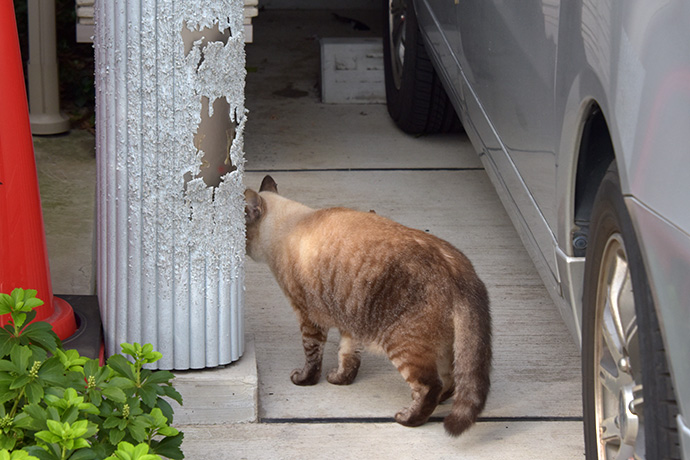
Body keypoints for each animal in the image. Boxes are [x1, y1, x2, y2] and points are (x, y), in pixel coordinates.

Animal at [242, 175, 490, 434]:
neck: (289, 224)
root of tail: (458, 269)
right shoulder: (350, 321)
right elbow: (348, 357)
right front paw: (340, 380)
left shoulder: (308, 317)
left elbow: (312, 355)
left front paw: (305, 380)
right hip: (442, 346)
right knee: (450, 381)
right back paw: (434, 402)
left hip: (403, 344)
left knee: (430, 386)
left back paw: (407, 418)